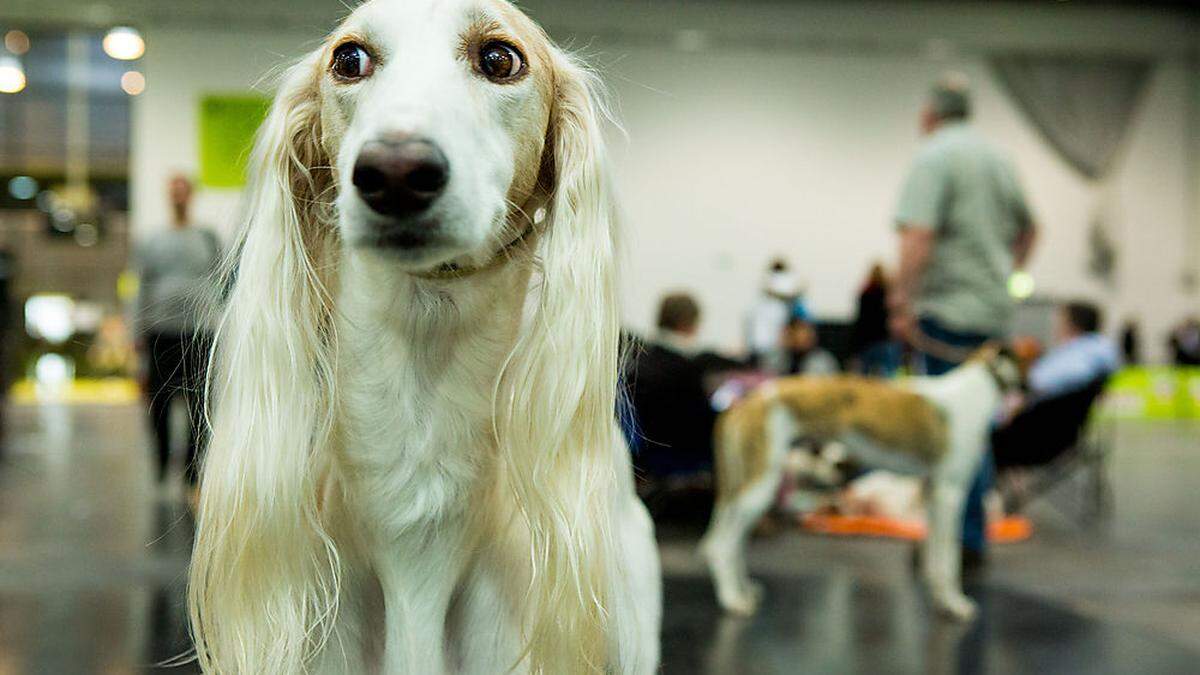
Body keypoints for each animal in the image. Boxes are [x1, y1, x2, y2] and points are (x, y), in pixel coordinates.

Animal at [700, 348, 1022, 624]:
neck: (977, 387)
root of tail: (744, 402)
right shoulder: (949, 493)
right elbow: (949, 559)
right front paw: (954, 604)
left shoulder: (932, 492)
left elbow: (934, 557)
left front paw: (939, 598)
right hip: (759, 488)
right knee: (722, 545)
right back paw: (732, 600)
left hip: (745, 488)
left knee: (733, 543)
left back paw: (744, 590)